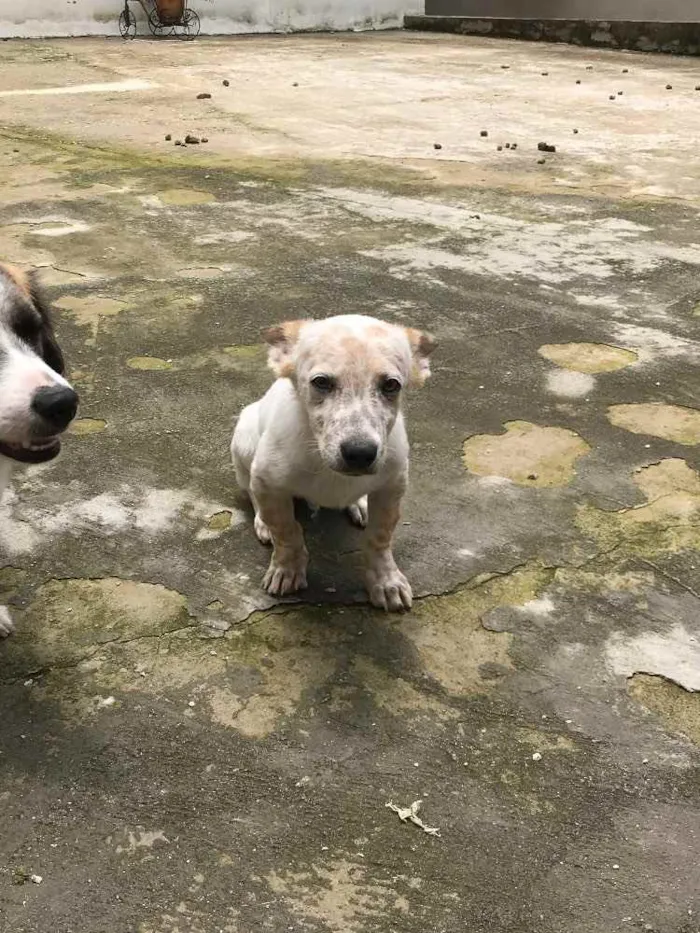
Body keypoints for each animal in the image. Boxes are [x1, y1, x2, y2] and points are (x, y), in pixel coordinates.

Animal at [232, 314, 434, 612]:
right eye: (321, 382)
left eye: (391, 385)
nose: (360, 453)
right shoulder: (267, 481)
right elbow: (286, 531)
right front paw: (286, 570)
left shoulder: (393, 486)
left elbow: (380, 537)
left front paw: (386, 582)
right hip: (244, 443)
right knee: (251, 494)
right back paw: (261, 523)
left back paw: (360, 504)